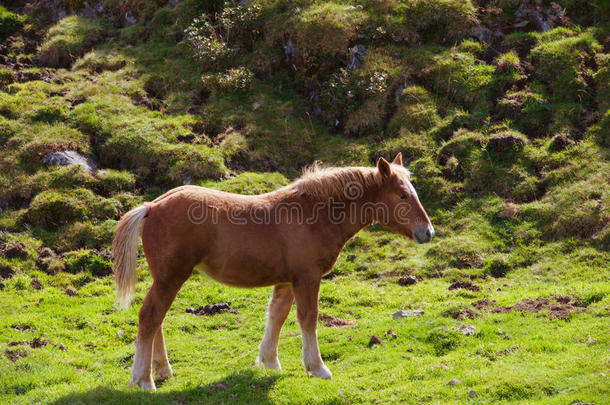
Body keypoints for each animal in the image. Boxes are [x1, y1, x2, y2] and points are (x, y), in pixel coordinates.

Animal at [111, 152, 434, 388]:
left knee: (157, 319)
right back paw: (143, 380)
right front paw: (317, 367)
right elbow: (308, 318)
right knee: (150, 316)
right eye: (402, 195)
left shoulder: (288, 280)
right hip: (171, 277)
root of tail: (152, 206)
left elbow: (277, 315)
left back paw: (162, 370)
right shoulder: (307, 277)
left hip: (166, 278)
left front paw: (269, 362)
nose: (427, 232)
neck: (313, 215)